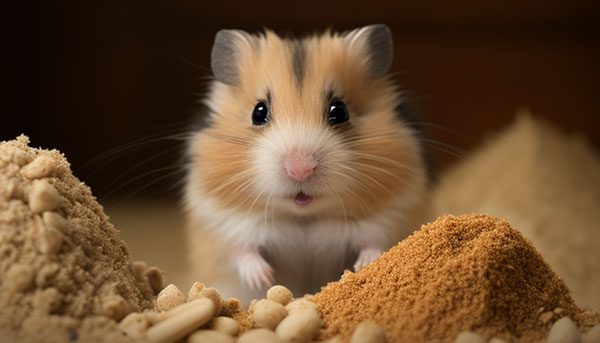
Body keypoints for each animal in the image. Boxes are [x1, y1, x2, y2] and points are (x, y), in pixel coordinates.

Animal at [185, 24, 428, 304]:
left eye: (340, 111)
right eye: (258, 112)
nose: (300, 169)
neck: (304, 217)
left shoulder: (393, 213)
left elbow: (374, 242)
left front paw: (363, 265)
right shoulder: (223, 220)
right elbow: (242, 250)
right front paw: (264, 278)